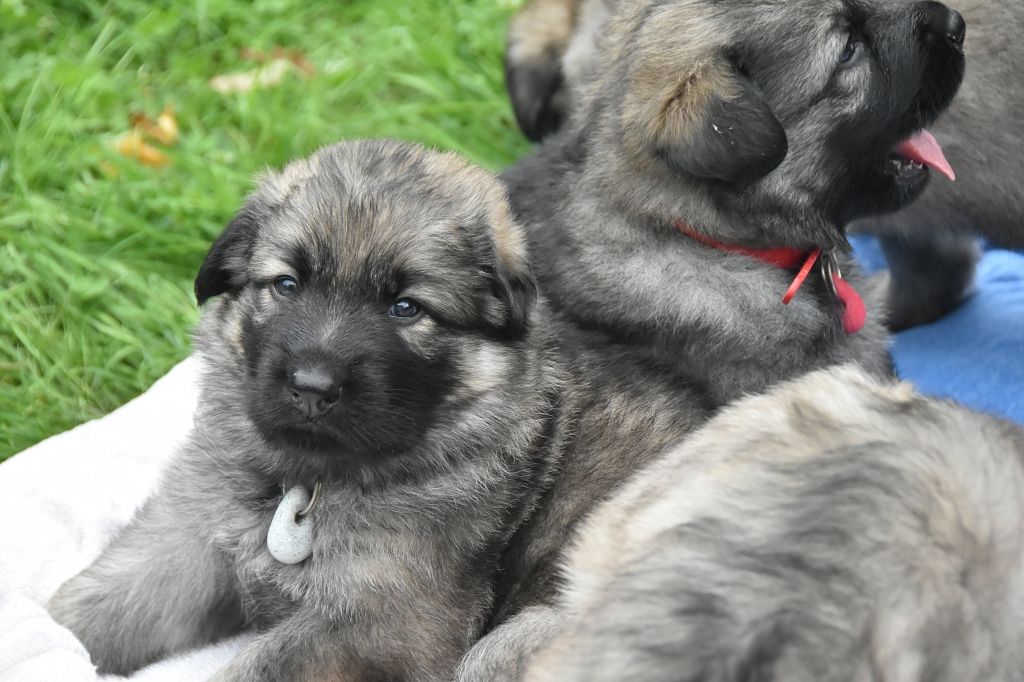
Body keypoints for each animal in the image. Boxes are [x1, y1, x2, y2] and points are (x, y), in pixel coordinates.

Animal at [47, 139, 567, 682]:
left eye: (406, 308)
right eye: (287, 284)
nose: (312, 389)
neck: (309, 481)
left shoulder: (386, 624)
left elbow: (258, 664)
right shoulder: (189, 543)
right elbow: (106, 599)